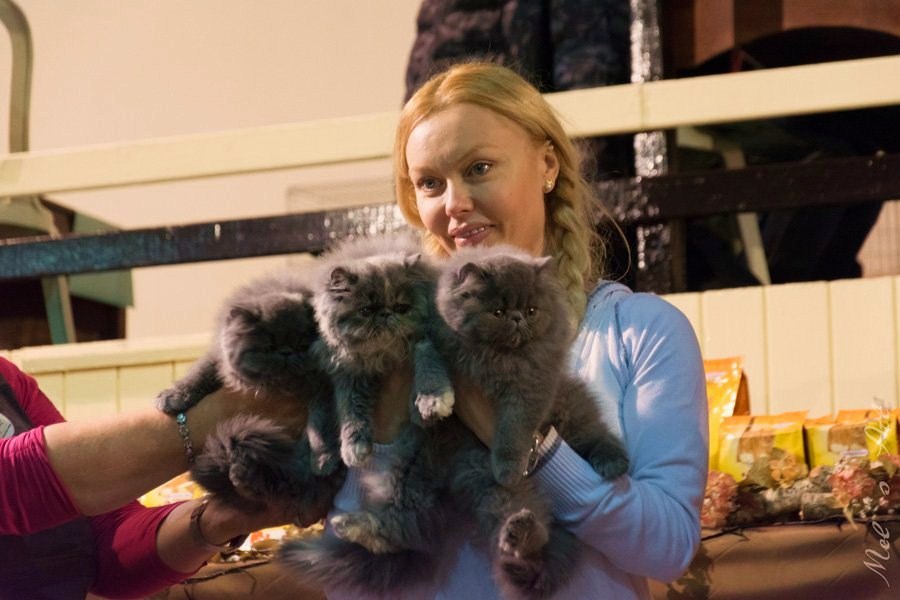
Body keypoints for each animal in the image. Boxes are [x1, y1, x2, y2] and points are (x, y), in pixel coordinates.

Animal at [310, 232, 455, 469]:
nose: (386, 314)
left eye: (402, 308)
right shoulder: (349, 372)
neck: (385, 353)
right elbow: (351, 409)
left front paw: (430, 402)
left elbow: (428, 368)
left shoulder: (424, 339)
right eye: (365, 310)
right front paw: (354, 447)